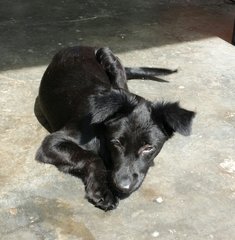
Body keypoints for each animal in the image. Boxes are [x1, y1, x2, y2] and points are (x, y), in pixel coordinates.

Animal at [34, 46, 196, 211]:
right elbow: (92, 156)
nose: (123, 186)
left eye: (149, 148)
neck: (101, 131)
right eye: (117, 143)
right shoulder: (52, 142)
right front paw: (102, 191)